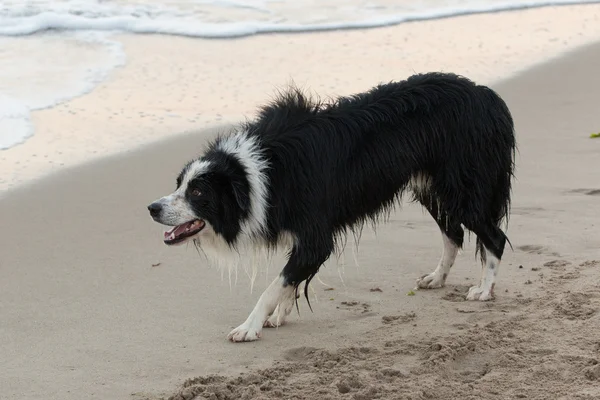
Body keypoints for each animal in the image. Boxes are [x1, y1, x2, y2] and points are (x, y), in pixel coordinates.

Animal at [146, 72, 516, 340]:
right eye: (179, 184)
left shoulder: (315, 235)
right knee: (454, 233)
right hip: (431, 186)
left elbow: (277, 282)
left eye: (198, 193)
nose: (152, 208)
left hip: (463, 186)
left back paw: (484, 290)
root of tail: (487, 96)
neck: (255, 174)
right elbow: (289, 278)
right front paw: (278, 315)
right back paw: (437, 278)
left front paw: (250, 326)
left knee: (492, 236)